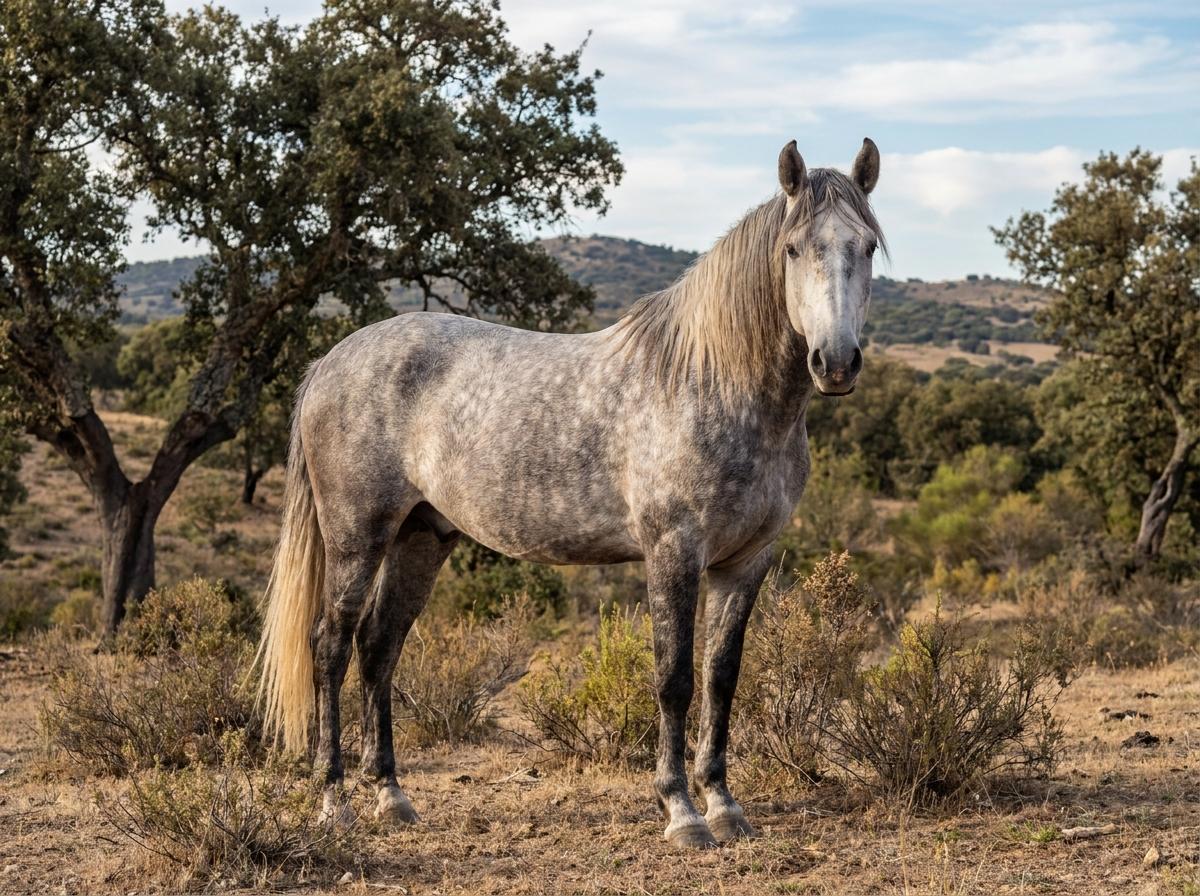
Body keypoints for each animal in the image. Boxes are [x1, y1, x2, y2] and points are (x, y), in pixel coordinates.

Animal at [257, 137, 885, 849]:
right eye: (793, 249)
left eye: (866, 246)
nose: (836, 363)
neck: (714, 382)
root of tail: (328, 363)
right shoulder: (673, 552)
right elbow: (674, 677)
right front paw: (682, 812)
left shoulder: (745, 562)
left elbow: (720, 679)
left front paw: (725, 804)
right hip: (356, 536)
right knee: (331, 646)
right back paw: (334, 800)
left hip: (422, 536)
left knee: (378, 646)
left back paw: (391, 796)